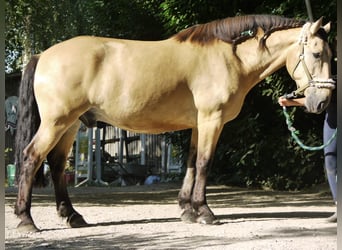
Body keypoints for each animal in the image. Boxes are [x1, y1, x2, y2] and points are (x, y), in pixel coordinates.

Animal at [14, 14, 332, 231]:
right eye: (317, 53)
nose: (322, 102)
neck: (230, 58)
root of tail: (42, 54)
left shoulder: (198, 124)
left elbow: (191, 163)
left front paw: (187, 210)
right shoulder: (212, 120)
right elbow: (204, 164)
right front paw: (205, 212)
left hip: (70, 125)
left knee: (56, 165)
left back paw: (72, 215)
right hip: (56, 122)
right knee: (31, 158)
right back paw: (26, 219)